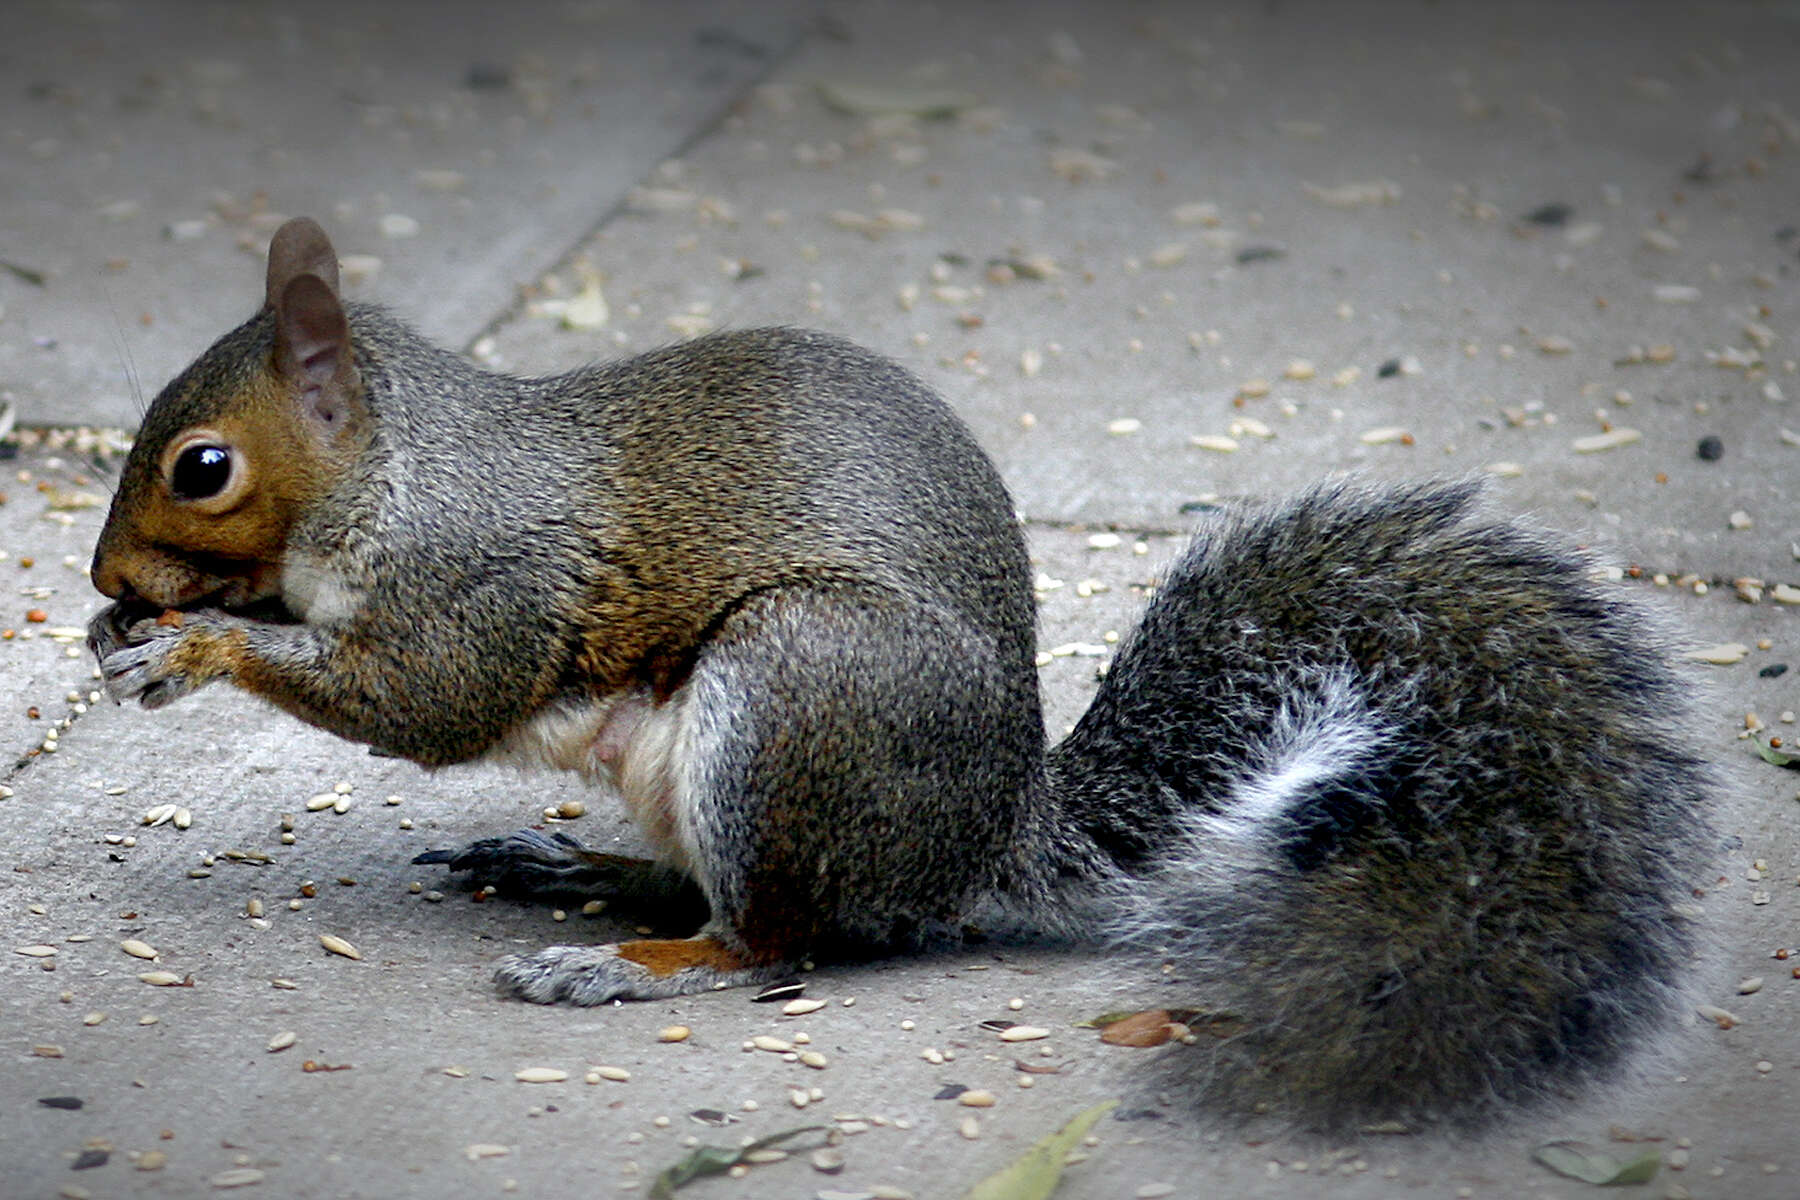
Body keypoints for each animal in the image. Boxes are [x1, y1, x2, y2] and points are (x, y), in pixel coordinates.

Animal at [87, 218, 1713, 1137]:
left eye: (201, 467)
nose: (104, 582)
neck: (396, 475)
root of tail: (982, 833)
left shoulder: (484, 583)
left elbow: (427, 702)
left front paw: (195, 645)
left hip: (797, 692)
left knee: (776, 943)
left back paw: (622, 964)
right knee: (731, 900)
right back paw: (575, 878)